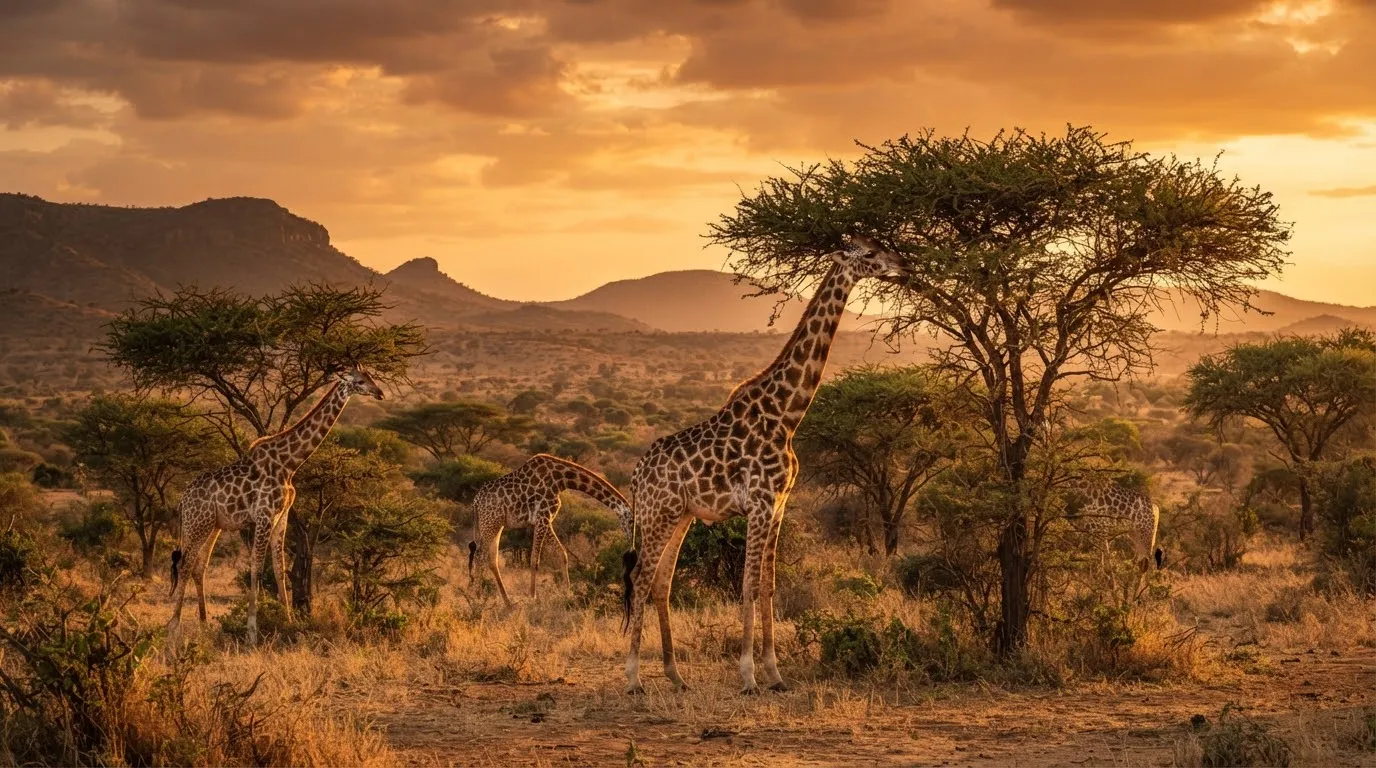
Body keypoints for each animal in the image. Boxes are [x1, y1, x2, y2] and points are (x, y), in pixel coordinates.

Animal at [167, 369, 384, 644]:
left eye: (371, 376)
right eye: (359, 381)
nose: (380, 392)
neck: (289, 464)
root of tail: (183, 501)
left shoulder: (282, 516)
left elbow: (280, 570)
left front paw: (289, 622)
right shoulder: (264, 515)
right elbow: (257, 569)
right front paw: (252, 632)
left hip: (213, 526)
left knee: (198, 566)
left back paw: (204, 626)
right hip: (197, 525)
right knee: (184, 565)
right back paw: (174, 627)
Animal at [467, 453, 631, 606]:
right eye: (630, 522)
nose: (632, 539)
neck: (562, 480)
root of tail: (475, 502)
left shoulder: (547, 520)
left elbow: (562, 553)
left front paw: (568, 593)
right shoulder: (542, 518)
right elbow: (535, 559)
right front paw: (533, 596)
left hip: (496, 524)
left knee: (491, 559)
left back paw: (507, 602)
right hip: (490, 523)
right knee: (480, 556)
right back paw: (477, 598)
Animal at [621, 234, 908, 695]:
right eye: (868, 254)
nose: (904, 265)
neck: (786, 415)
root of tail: (635, 475)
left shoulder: (779, 505)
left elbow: (769, 586)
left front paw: (775, 673)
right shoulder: (758, 503)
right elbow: (748, 586)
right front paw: (748, 675)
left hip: (681, 515)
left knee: (661, 582)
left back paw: (675, 675)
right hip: (657, 513)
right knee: (642, 579)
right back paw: (633, 678)